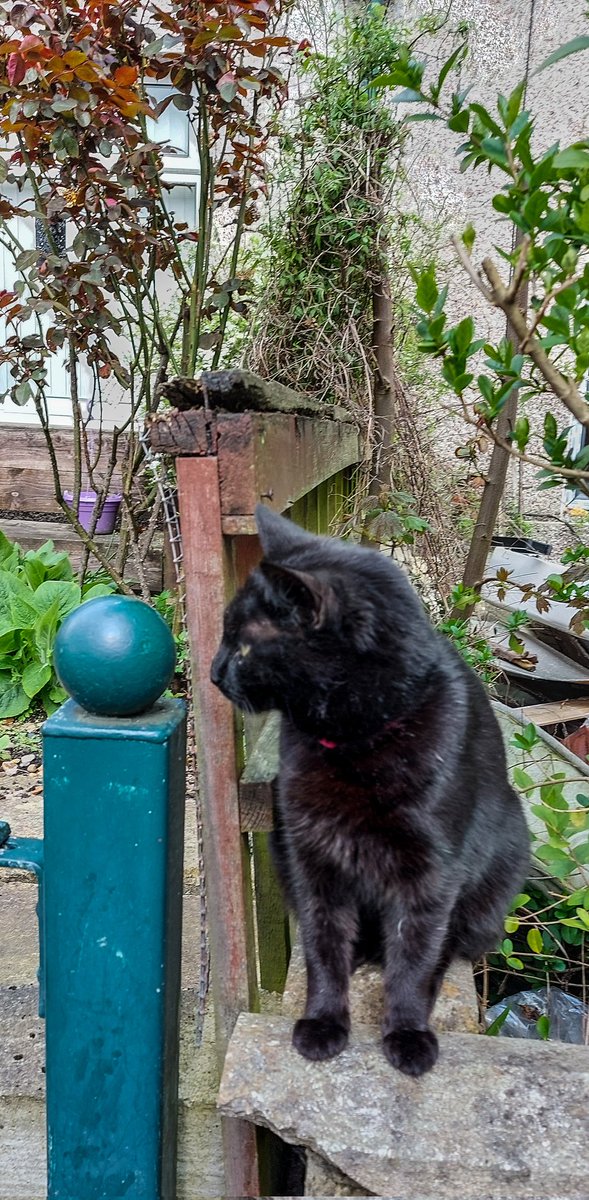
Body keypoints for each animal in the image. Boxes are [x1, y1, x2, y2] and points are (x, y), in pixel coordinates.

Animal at [211, 506, 530, 1080]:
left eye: (243, 645)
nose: (213, 673)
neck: (355, 742)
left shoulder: (430, 876)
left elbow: (415, 959)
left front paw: (407, 1033)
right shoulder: (312, 856)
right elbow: (323, 947)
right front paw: (322, 1023)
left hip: (498, 874)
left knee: (448, 945)